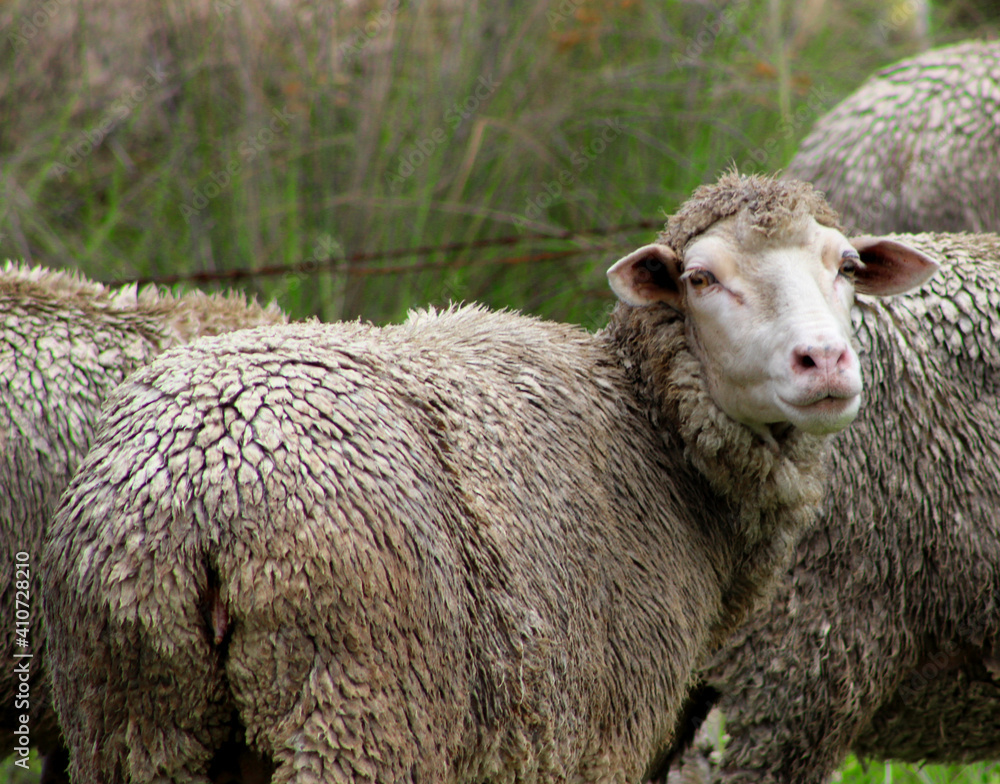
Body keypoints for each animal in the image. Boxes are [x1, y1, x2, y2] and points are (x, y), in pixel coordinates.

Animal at [41, 173, 938, 784]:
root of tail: (197, 493)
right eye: (701, 278)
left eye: (846, 266)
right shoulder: (605, 733)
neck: (648, 432)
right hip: (360, 706)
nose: (824, 361)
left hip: (134, 714)